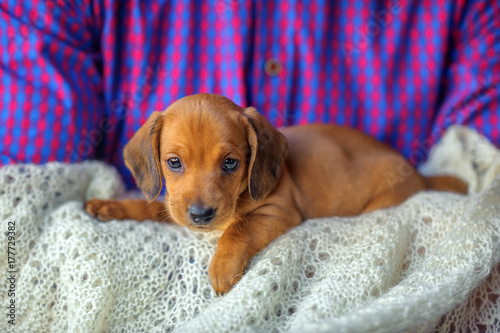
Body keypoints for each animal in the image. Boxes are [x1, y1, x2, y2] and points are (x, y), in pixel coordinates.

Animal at [86, 92, 468, 294]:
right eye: (174, 163)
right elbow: (147, 207)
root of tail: (418, 175)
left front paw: (222, 267)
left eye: (230, 163)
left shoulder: (277, 213)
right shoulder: (173, 207)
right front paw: (110, 205)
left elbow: (238, 230)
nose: (201, 216)